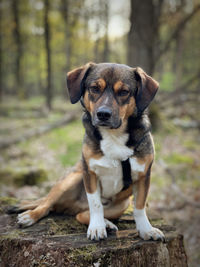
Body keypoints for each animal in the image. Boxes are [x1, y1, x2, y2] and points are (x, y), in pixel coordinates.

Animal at [14, 63, 164, 243]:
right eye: (94, 88)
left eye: (124, 92)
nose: (103, 114)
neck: (114, 135)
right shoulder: (89, 172)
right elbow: (96, 204)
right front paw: (97, 228)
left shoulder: (143, 176)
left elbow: (140, 207)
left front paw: (146, 230)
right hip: (72, 178)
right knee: (48, 204)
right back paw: (31, 216)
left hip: (120, 205)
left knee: (80, 214)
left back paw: (107, 223)